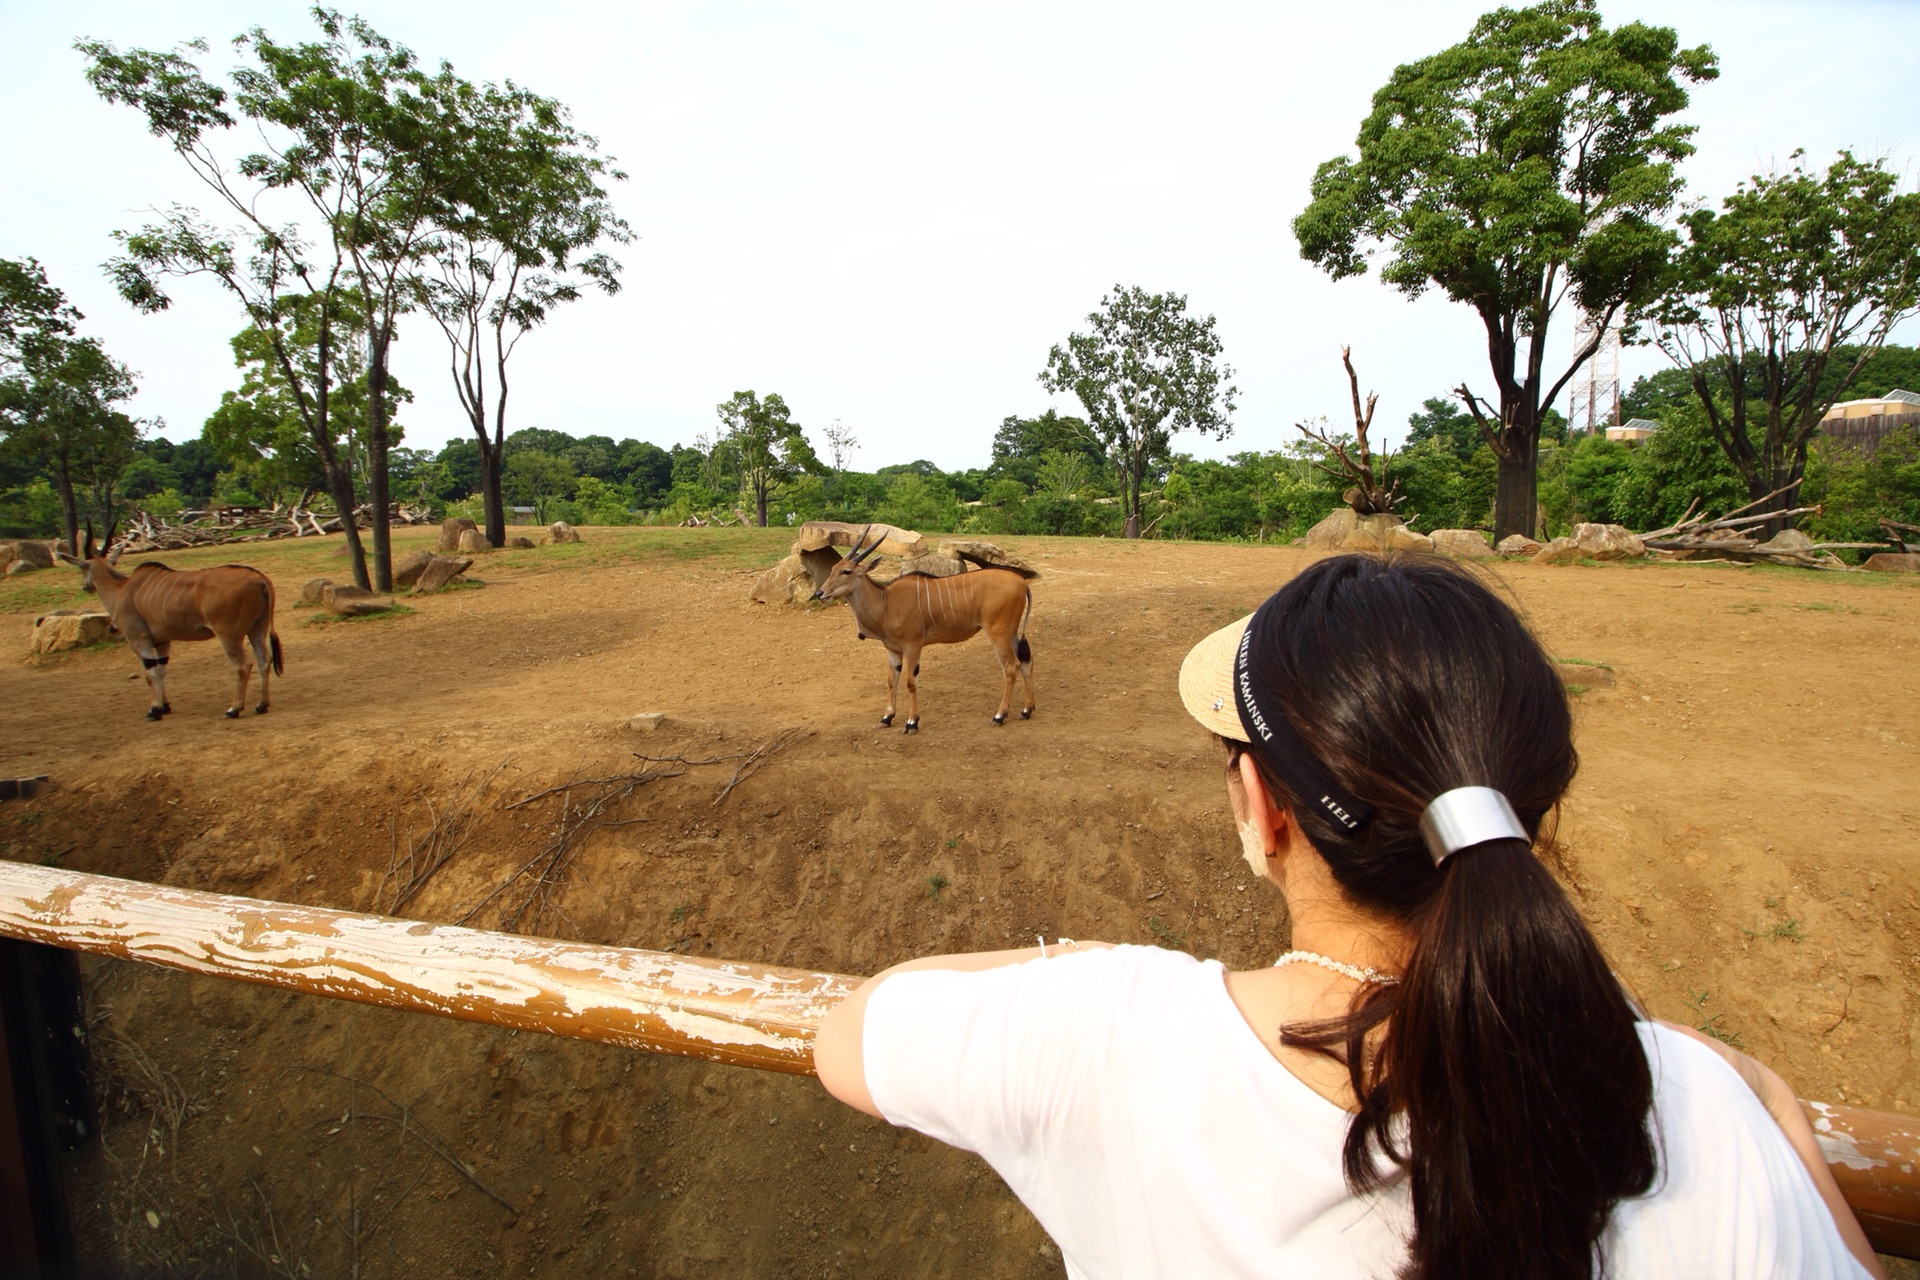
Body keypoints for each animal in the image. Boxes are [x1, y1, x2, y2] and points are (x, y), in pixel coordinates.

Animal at [53, 521, 280, 721]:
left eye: (82, 568)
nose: (86, 587)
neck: (122, 589)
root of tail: (260, 579)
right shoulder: (163, 642)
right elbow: (161, 670)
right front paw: (165, 706)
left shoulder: (139, 639)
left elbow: (150, 673)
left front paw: (154, 710)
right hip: (257, 629)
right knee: (264, 661)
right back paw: (262, 705)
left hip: (228, 635)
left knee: (243, 665)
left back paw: (234, 709)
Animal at [817, 529, 1044, 729]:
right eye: (833, 569)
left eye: (846, 571)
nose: (820, 593)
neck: (886, 603)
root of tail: (1022, 582)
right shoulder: (893, 650)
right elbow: (892, 681)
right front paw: (887, 718)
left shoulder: (912, 646)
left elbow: (910, 681)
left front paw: (911, 722)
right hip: (1012, 633)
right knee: (1027, 662)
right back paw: (1027, 710)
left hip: (999, 634)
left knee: (1011, 667)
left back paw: (999, 716)